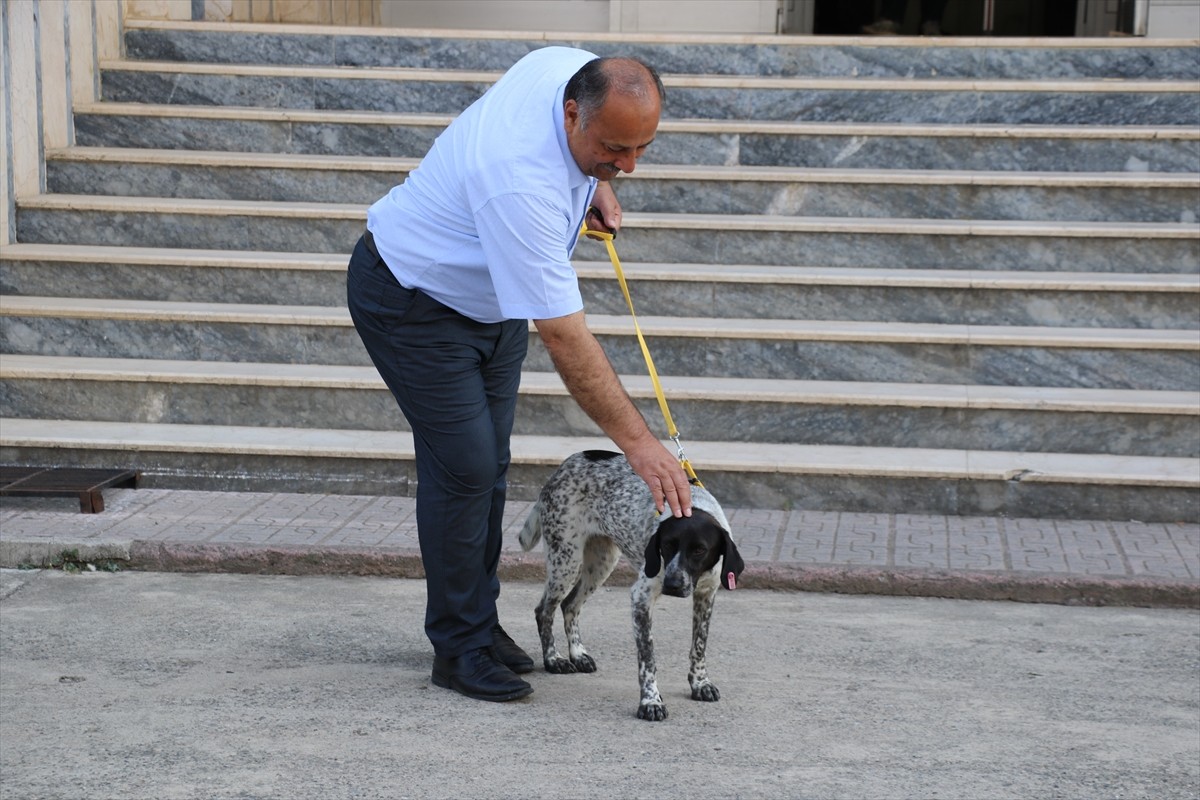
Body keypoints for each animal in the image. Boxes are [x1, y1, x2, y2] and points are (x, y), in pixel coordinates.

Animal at [516, 453, 739, 724]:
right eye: (667, 545)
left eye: (700, 550)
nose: (673, 585)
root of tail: (566, 464)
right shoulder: (641, 598)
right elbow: (648, 659)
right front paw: (651, 701)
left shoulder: (706, 596)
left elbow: (699, 646)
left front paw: (700, 683)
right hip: (566, 561)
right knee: (544, 611)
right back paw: (554, 659)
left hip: (601, 563)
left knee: (570, 606)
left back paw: (578, 654)